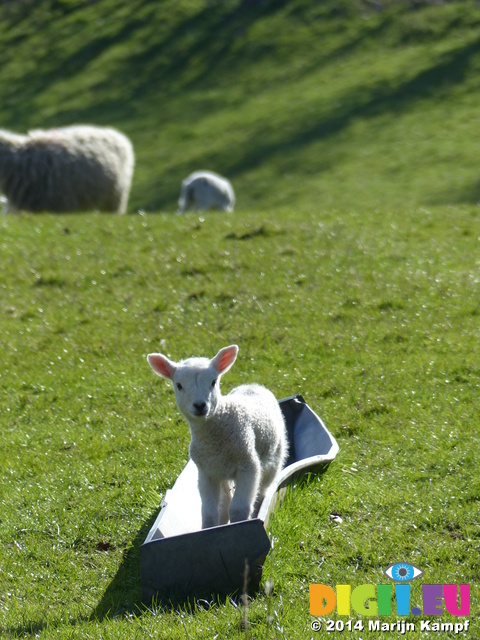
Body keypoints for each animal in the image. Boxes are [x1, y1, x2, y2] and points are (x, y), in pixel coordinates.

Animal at [148, 344, 286, 528]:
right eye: (179, 385)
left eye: (213, 382)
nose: (200, 405)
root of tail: (253, 385)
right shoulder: (206, 473)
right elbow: (209, 512)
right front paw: (210, 527)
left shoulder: (248, 465)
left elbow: (239, 508)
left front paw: (241, 524)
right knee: (226, 499)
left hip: (273, 461)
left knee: (261, 490)